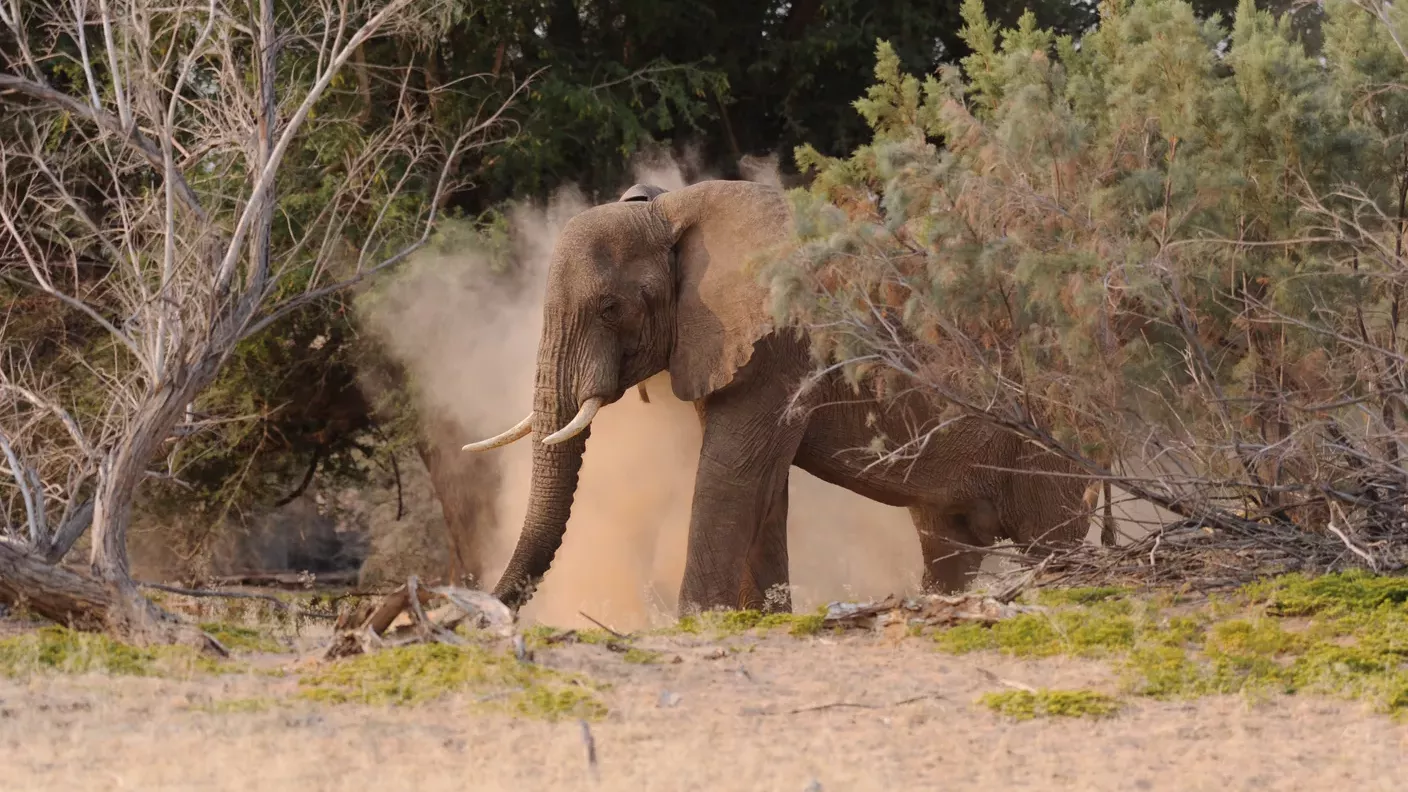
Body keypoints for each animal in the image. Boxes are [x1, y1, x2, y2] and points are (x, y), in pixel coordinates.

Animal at [464, 179, 1103, 616]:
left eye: (609, 308)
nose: (480, 610)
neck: (670, 212)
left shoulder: (778, 344)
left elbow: (733, 475)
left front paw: (697, 620)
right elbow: (765, 486)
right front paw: (762, 617)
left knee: (1053, 539)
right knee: (948, 545)